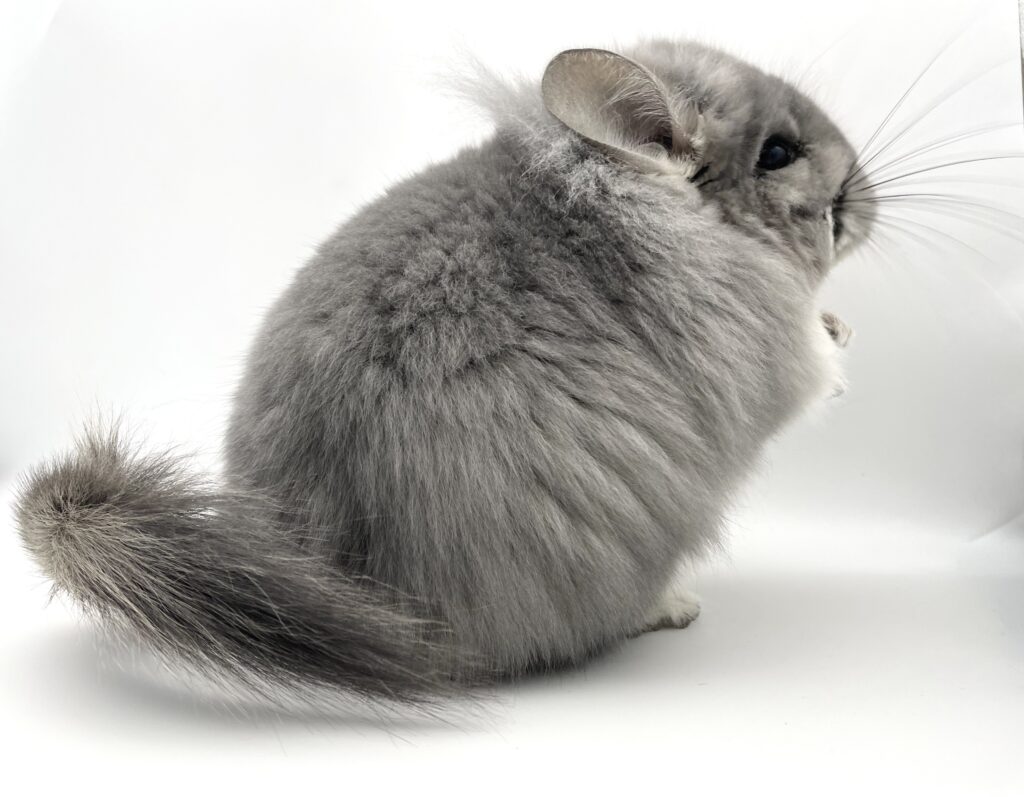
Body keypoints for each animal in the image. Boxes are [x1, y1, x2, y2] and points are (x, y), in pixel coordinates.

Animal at [14, 40, 870, 705]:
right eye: (779, 153)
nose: (861, 189)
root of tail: (336, 576)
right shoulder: (758, 345)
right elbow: (807, 364)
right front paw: (835, 334)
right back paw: (674, 605)